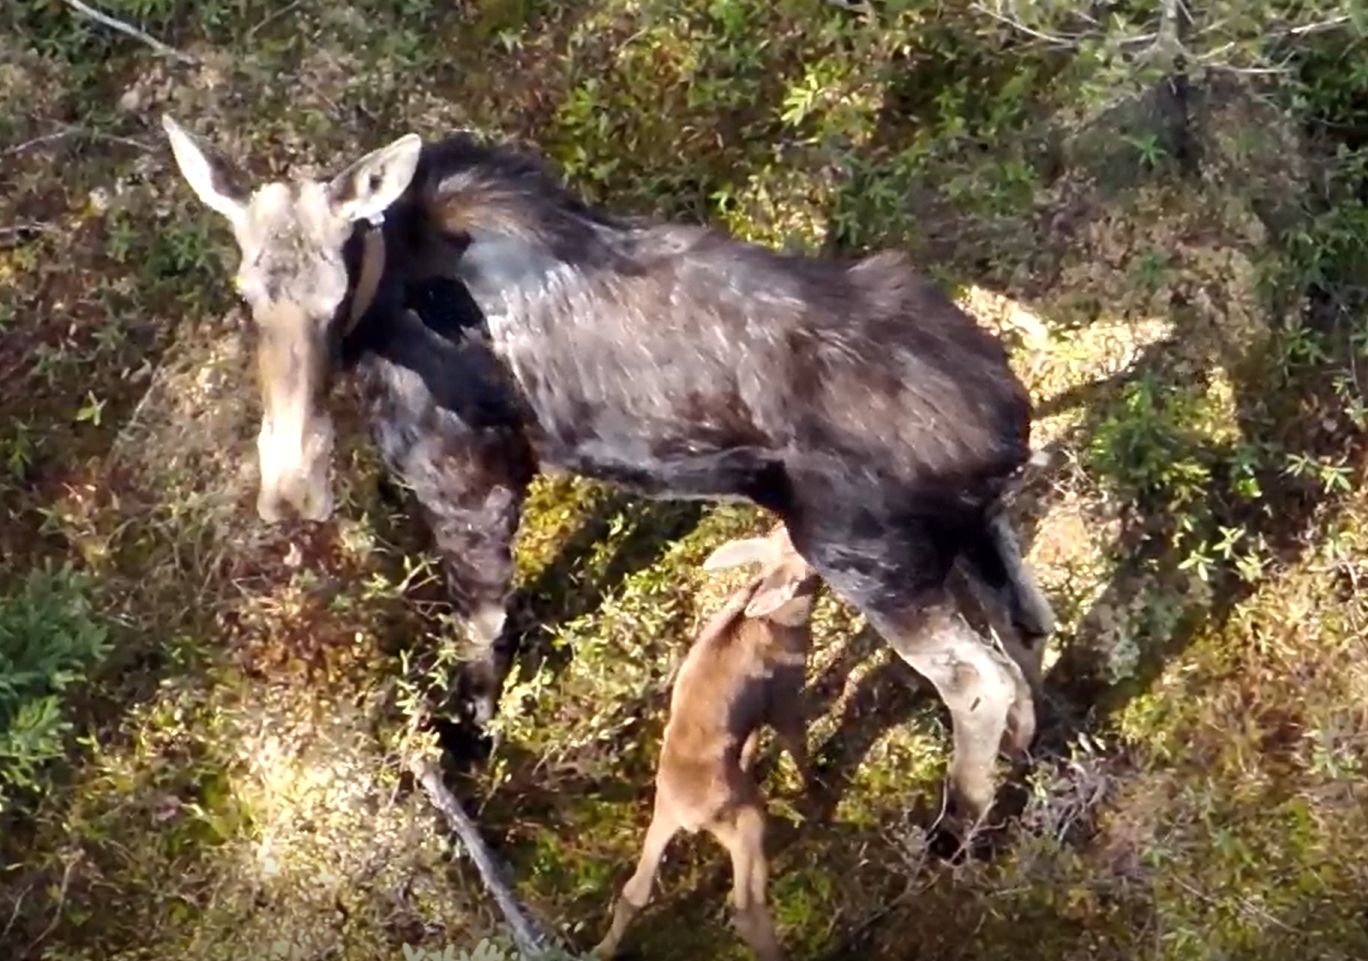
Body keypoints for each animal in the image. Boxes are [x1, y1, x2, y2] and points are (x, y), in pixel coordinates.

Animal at [159, 116, 1055, 823]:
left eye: (334, 294)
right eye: (245, 293)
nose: (290, 490)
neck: (389, 305)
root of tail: (1007, 423)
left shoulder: (470, 481)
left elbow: (479, 631)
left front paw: (470, 740)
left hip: (869, 556)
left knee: (979, 682)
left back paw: (954, 827)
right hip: (972, 529)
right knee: (1028, 626)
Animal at [593, 524, 818, 961]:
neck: (787, 621)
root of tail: (691, 819)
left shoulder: (754, 720)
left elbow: (751, 746)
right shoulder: (783, 699)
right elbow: (798, 745)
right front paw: (817, 785)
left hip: (665, 816)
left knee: (634, 891)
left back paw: (601, 948)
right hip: (742, 816)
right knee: (745, 907)